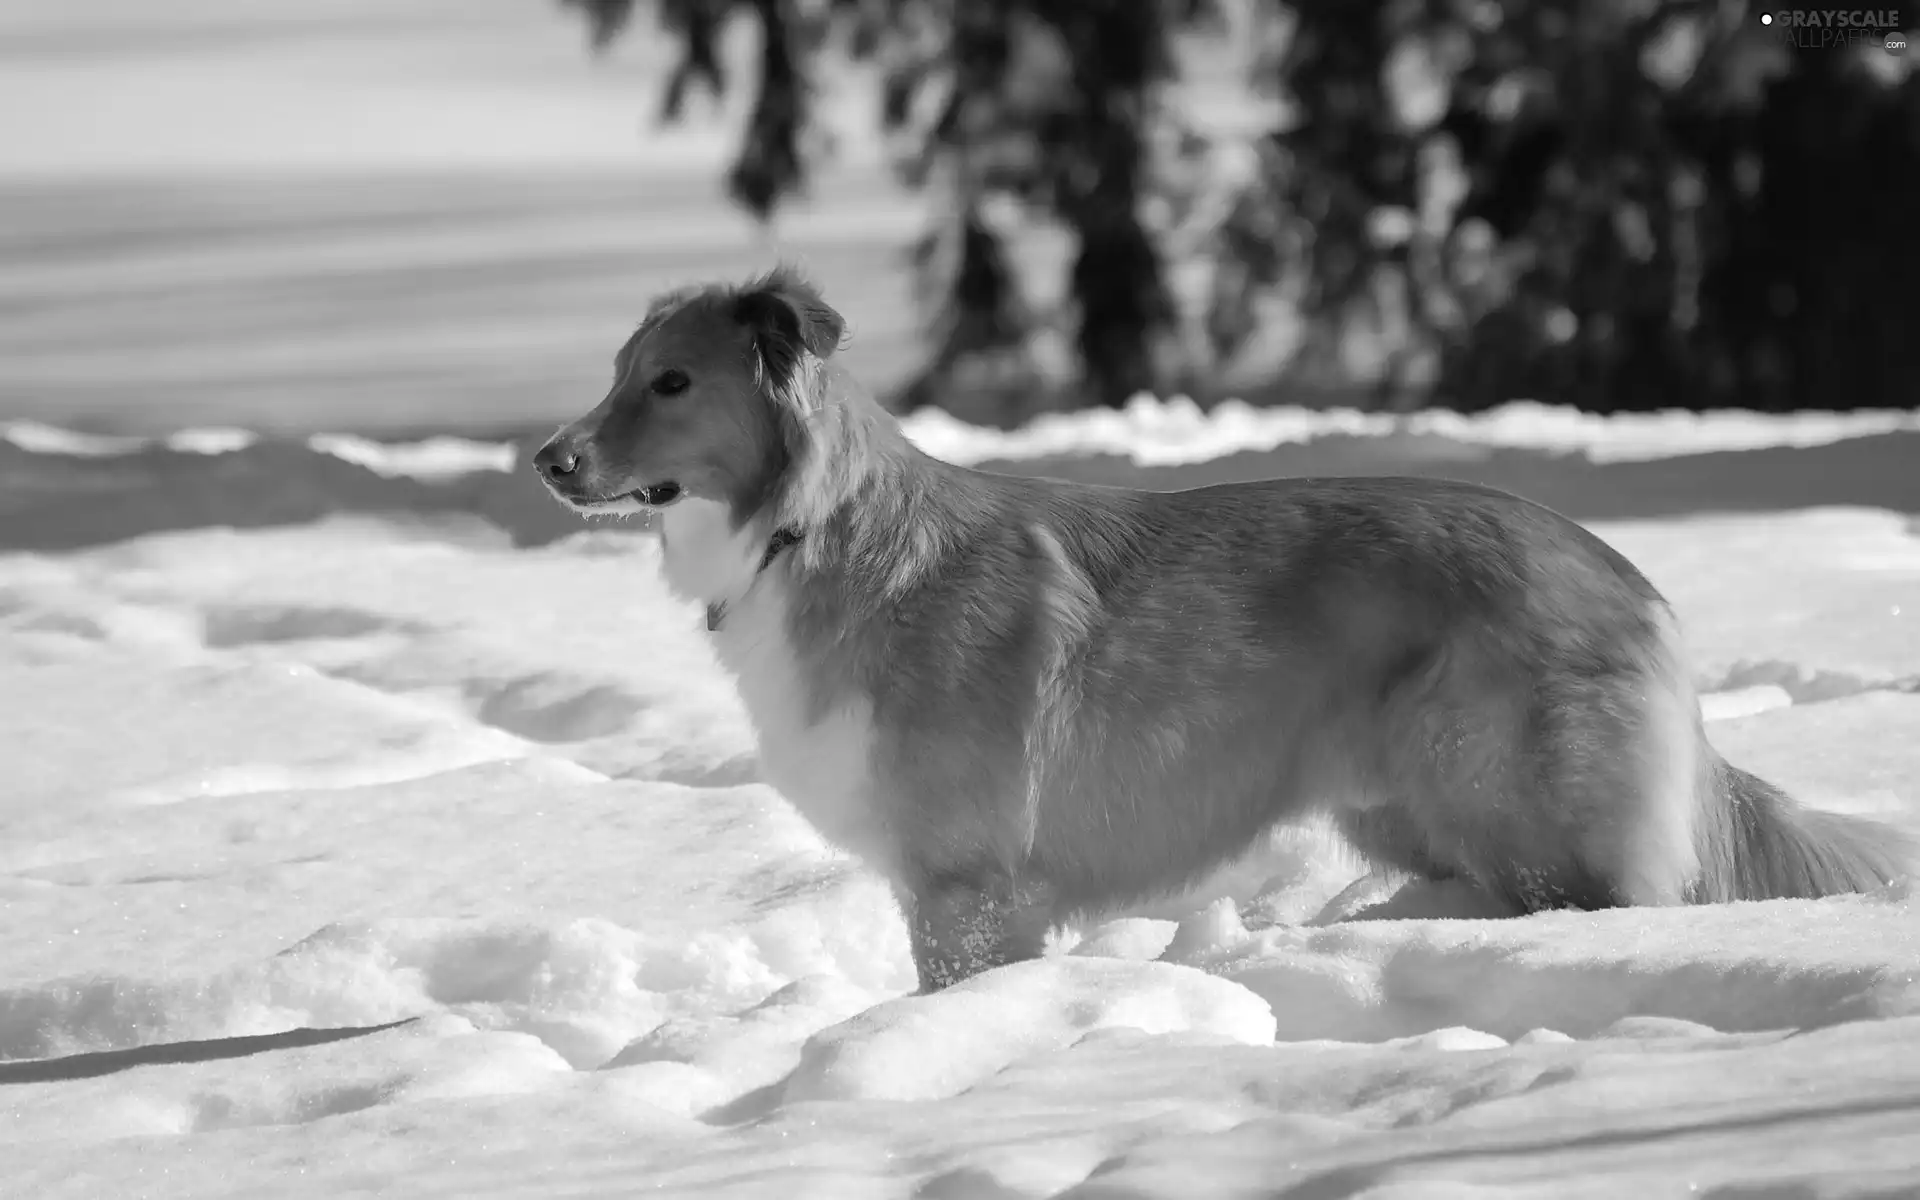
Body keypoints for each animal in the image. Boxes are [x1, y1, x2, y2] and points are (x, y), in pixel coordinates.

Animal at [533, 268, 1912, 990]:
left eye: (672, 384)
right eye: (615, 374)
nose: (548, 462)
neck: (810, 527)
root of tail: (1632, 579)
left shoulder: (970, 888)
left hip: (1517, 808)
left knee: (1603, 907)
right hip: (1407, 804)